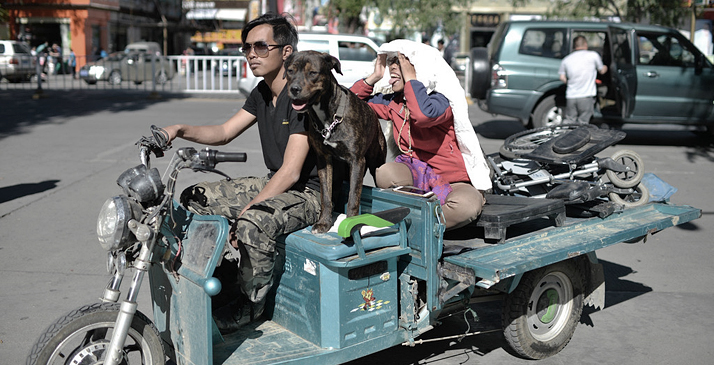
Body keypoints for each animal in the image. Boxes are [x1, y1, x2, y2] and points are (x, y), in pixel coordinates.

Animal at [280, 50, 386, 233]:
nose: (294, 89)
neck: (328, 116)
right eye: (290, 71)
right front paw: (324, 222)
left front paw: (351, 224)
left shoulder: (356, 161)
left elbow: (353, 197)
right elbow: (326, 196)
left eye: (313, 73)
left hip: (377, 164)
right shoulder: (324, 161)